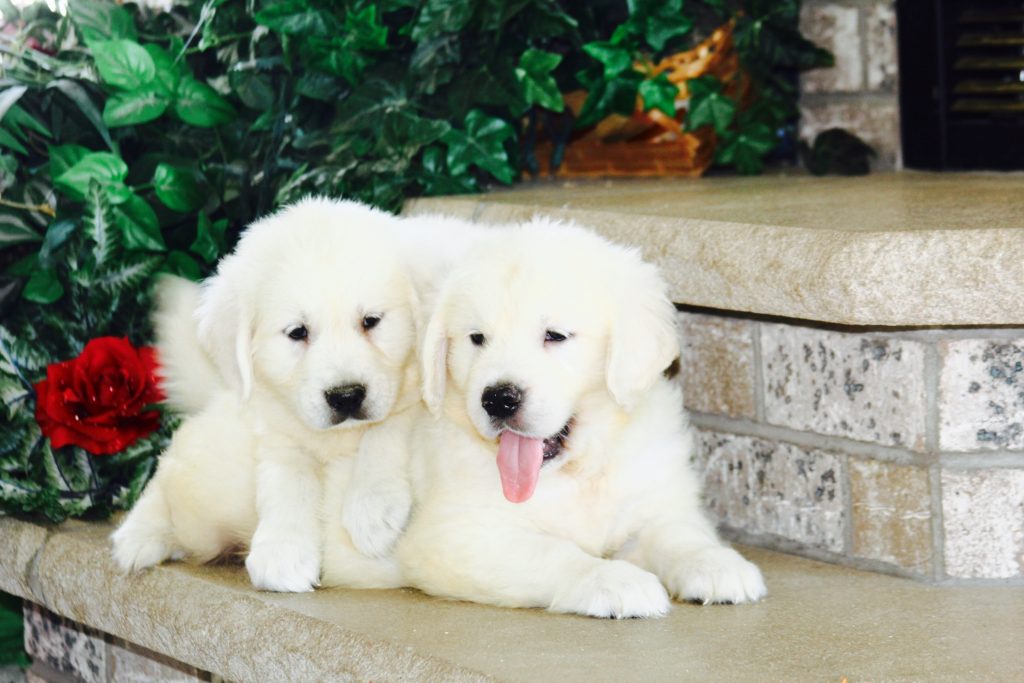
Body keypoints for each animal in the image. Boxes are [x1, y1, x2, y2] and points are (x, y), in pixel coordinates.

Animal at [393, 220, 770, 618]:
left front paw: (714, 563)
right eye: (477, 338)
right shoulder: (453, 535)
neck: (578, 473)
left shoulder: (651, 493)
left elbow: (675, 531)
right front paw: (614, 580)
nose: (497, 399)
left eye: (555, 336)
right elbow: (552, 553)